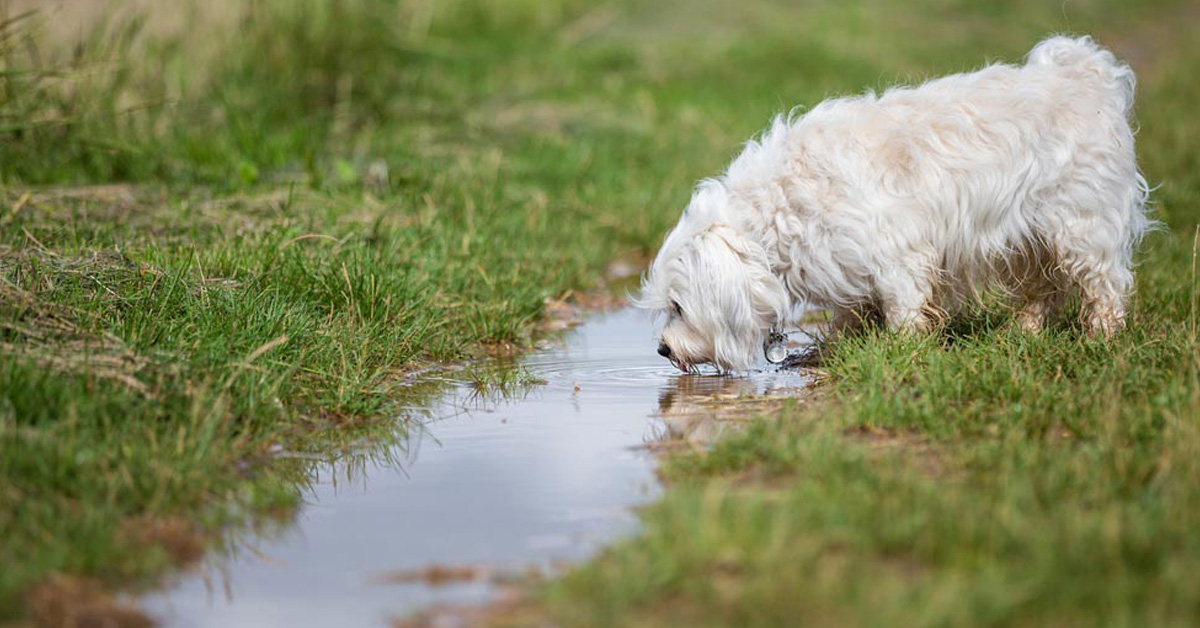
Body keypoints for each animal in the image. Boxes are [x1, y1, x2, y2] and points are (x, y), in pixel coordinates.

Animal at [638, 35, 1152, 374]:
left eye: (678, 306)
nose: (663, 349)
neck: (778, 213)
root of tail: (1085, 74)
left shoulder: (898, 254)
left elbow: (904, 308)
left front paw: (904, 352)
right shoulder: (844, 263)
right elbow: (849, 316)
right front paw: (833, 350)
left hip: (1081, 224)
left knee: (1104, 285)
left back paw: (1102, 338)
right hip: (1029, 235)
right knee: (1045, 287)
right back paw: (1021, 332)